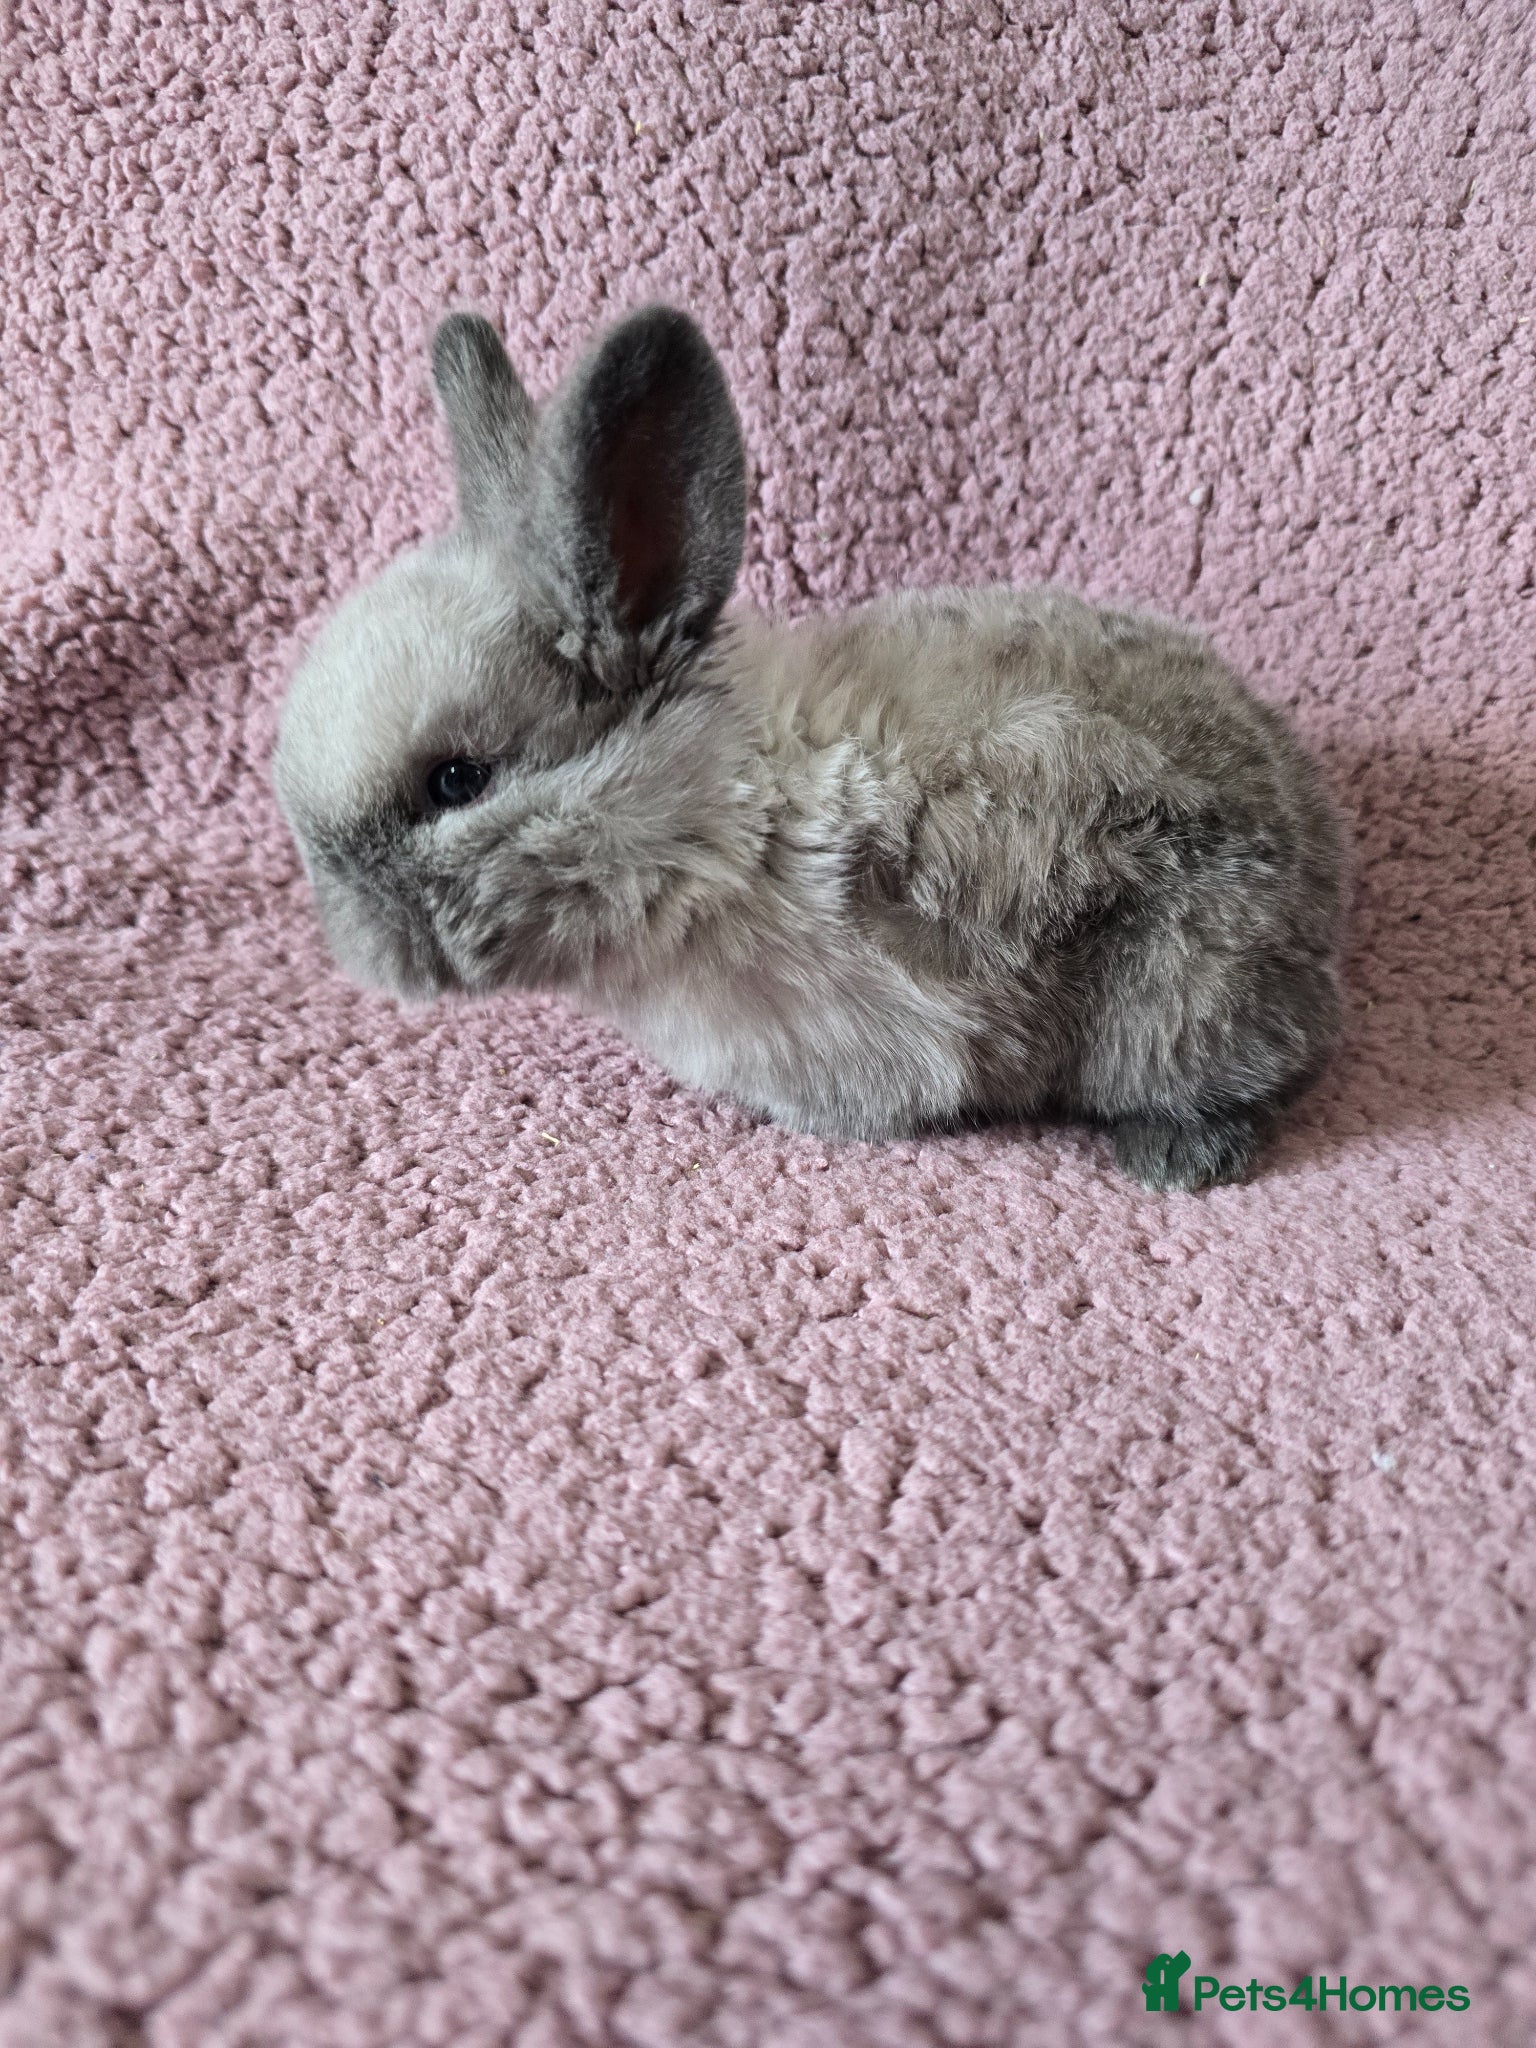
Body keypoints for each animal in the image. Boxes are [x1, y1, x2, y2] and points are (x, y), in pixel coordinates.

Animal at [273, 304, 1346, 1191]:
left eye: (458, 780)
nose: (355, 953)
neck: (714, 825)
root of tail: (1325, 880)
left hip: (1178, 993)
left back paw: (1176, 1157)